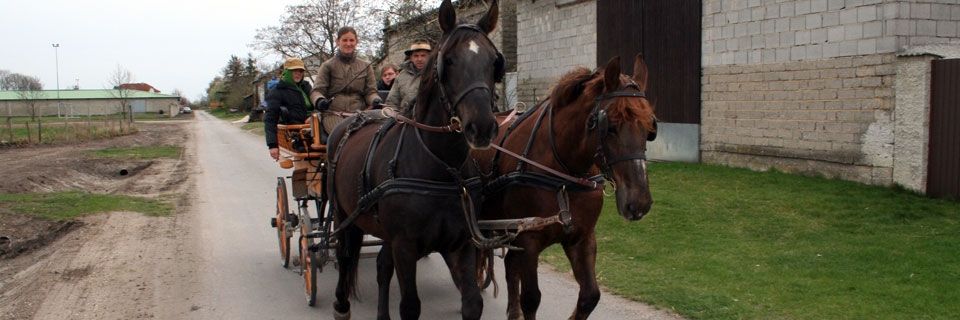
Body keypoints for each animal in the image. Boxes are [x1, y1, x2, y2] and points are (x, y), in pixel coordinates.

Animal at [324, 1, 502, 318]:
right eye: (449, 61)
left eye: (494, 61)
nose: (482, 127)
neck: (442, 166)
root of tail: (351, 120)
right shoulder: (405, 246)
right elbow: (409, 306)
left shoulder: (462, 243)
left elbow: (472, 302)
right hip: (345, 216)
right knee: (345, 256)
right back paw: (341, 305)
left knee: (382, 265)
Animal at [474, 55, 656, 320]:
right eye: (610, 125)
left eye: (650, 127)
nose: (639, 202)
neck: (563, 176)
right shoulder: (529, 240)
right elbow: (532, 298)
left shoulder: (582, 237)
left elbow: (590, 296)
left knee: (509, 266)